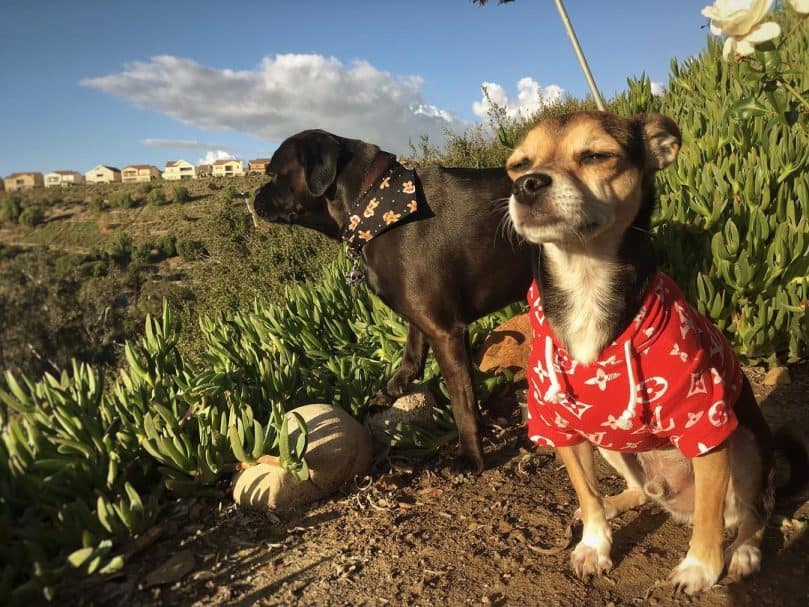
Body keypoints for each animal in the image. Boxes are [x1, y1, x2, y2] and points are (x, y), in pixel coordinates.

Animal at [251, 129, 532, 470]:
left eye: (273, 174)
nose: (252, 196)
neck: (374, 204)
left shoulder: (446, 332)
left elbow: (462, 402)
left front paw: (470, 457)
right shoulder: (425, 320)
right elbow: (412, 353)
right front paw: (392, 391)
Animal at [504, 111, 800, 596]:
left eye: (595, 156)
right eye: (516, 166)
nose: (527, 184)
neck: (586, 282)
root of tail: (673, 501)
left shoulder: (706, 425)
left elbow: (709, 518)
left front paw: (700, 568)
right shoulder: (560, 426)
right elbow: (586, 492)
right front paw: (595, 543)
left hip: (745, 441)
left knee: (752, 513)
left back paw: (743, 552)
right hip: (609, 442)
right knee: (640, 490)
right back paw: (620, 501)